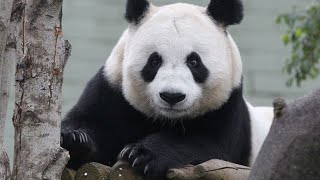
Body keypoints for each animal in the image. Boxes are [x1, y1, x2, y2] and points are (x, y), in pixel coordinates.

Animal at [61, 0, 274, 177]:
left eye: (194, 61)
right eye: (154, 61)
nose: (172, 96)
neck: (168, 120)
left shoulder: (227, 106)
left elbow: (209, 145)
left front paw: (141, 154)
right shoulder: (112, 90)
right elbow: (92, 123)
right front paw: (74, 139)